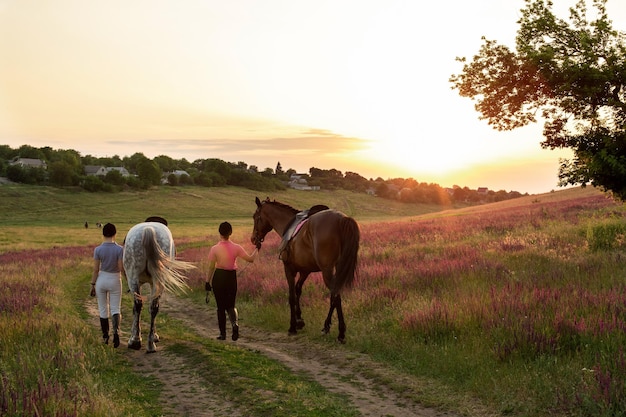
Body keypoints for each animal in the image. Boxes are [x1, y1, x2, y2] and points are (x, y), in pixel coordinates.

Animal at [251, 197, 358, 342]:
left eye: (255, 217)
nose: (253, 239)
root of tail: (343, 219)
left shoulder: (289, 269)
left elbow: (291, 296)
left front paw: (292, 326)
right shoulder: (304, 271)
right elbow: (298, 290)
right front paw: (299, 320)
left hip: (327, 270)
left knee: (335, 295)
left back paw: (339, 332)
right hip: (337, 268)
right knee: (335, 295)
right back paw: (327, 326)